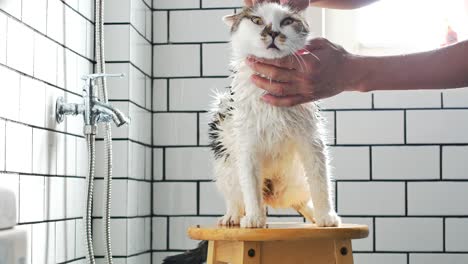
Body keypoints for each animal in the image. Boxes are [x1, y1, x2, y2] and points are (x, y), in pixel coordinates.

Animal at [209, 2, 340, 228]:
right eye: (256, 20)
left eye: (287, 21)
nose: (272, 33)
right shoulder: (246, 141)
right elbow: (250, 185)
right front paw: (254, 219)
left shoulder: (311, 138)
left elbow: (320, 179)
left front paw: (326, 216)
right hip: (225, 157)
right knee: (236, 195)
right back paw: (234, 216)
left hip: (296, 180)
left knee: (301, 198)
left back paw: (314, 215)